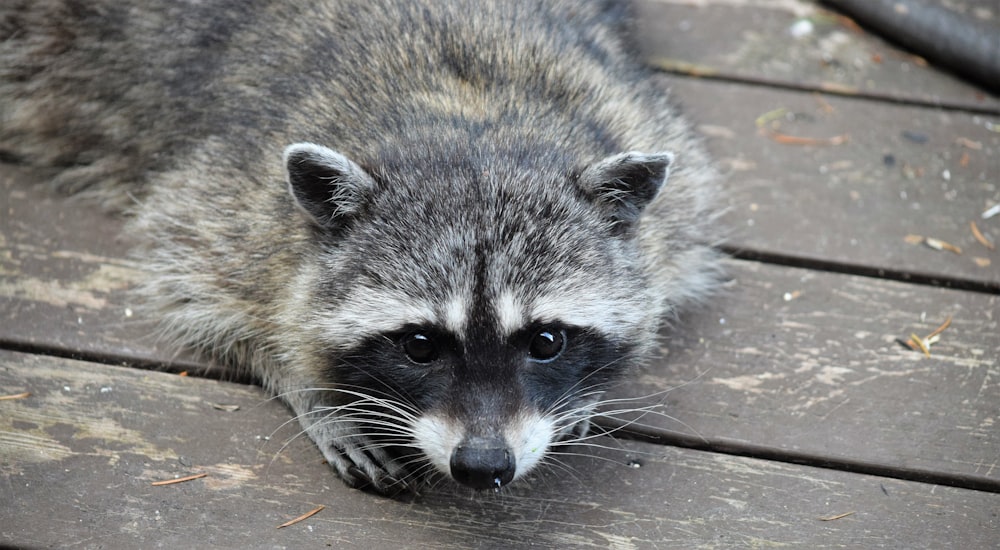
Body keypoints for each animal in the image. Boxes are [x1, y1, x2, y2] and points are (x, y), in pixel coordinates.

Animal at [0, 1, 720, 496]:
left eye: (546, 341)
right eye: (420, 346)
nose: (483, 466)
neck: (469, 121)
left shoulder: (653, 153)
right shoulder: (231, 199)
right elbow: (195, 285)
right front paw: (307, 382)